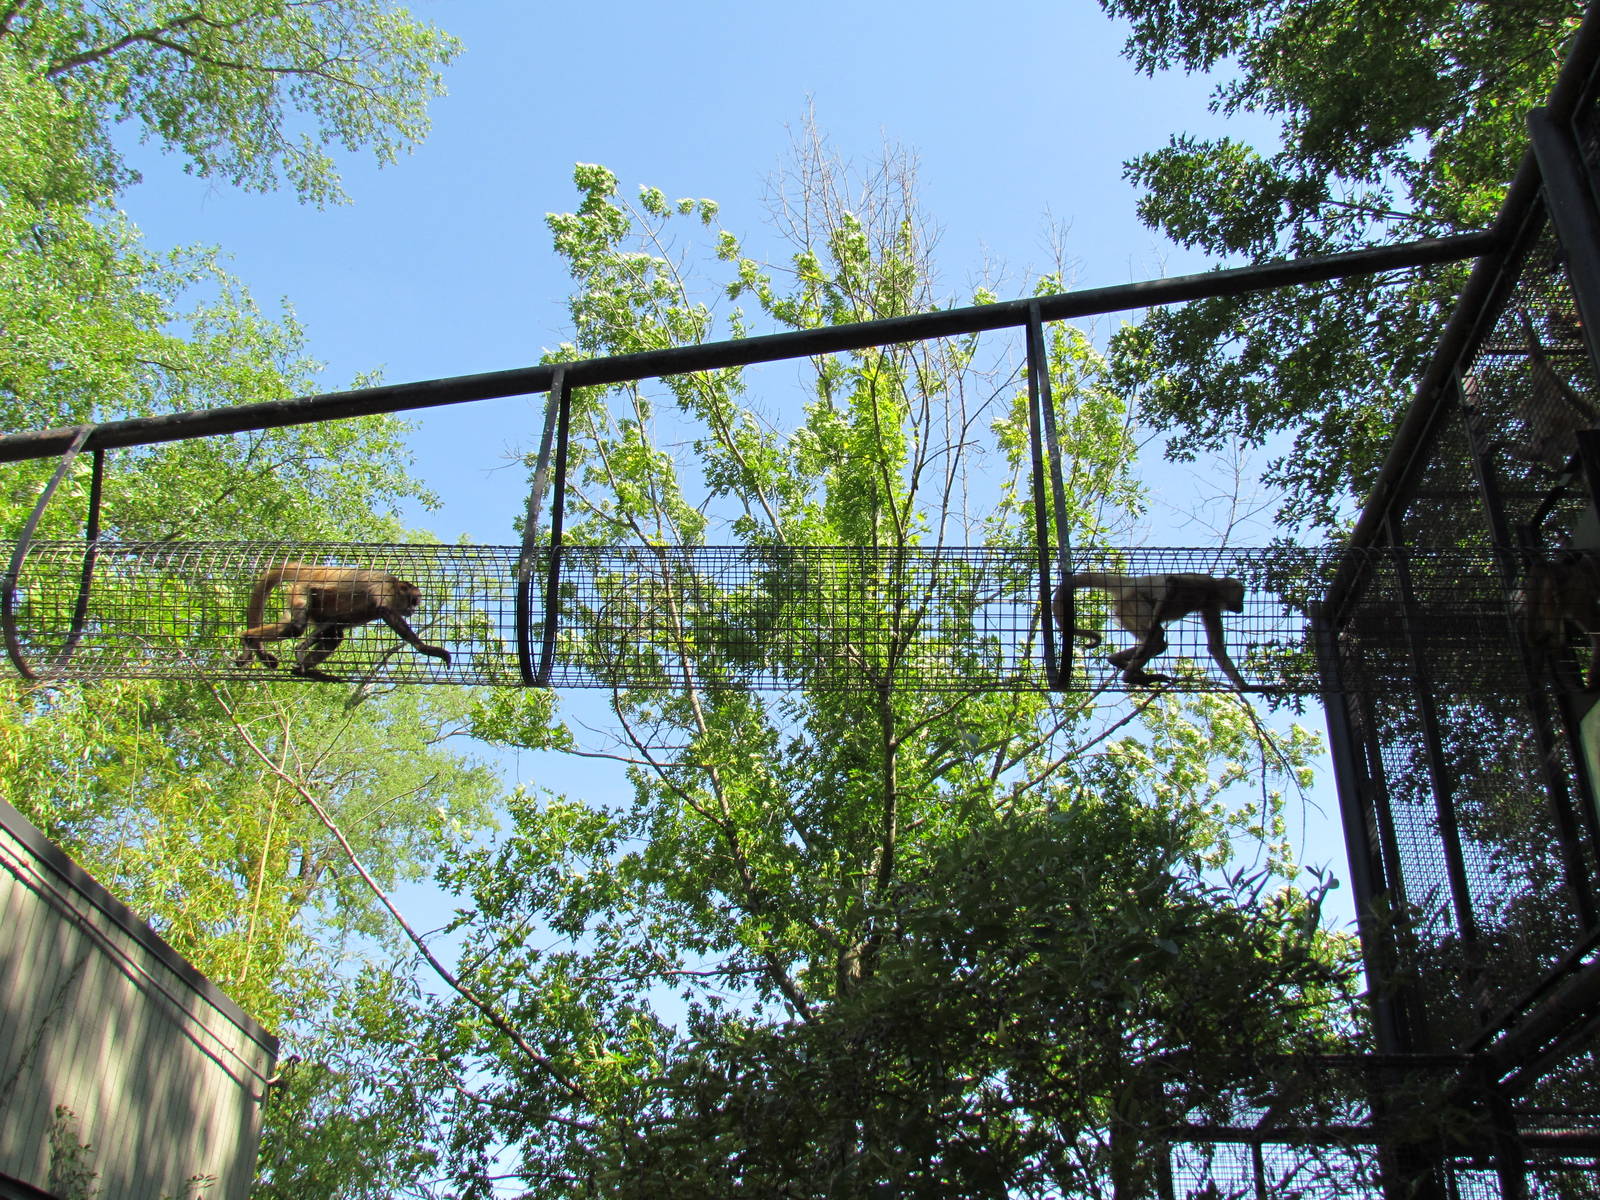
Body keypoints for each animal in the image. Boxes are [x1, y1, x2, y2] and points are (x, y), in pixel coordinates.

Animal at [235, 563, 451, 682]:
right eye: (414, 601)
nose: (413, 611)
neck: (394, 586)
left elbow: (337, 627)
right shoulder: (383, 584)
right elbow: (384, 610)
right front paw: (427, 649)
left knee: (332, 635)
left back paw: (301, 669)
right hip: (301, 590)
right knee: (296, 628)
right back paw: (248, 639)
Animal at [1053, 571, 1250, 689]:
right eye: (1241, 597)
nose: (1241, 607)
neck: (1212, 592)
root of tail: (1131, 582)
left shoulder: (1210, 606)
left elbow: (1215, 647)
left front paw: (1245, 687)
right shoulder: (1202, 584)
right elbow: (1172, 582)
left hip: (1126, 612)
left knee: (1157, 643)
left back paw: (1116, 661)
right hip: (1132, 603)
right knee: (1155, 637)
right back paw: (1129, 677)